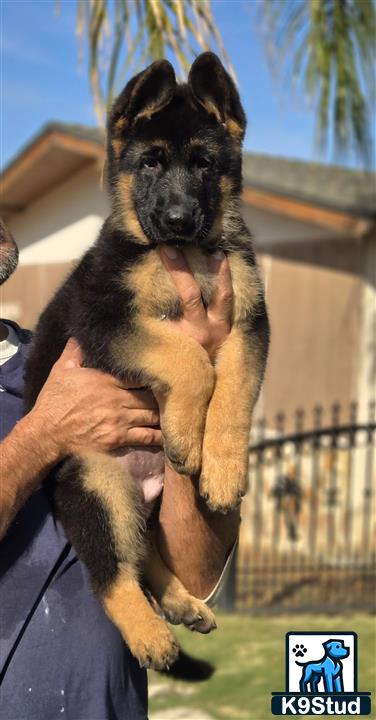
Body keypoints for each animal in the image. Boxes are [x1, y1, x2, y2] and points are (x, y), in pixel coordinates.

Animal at [25, 53, 268, 672]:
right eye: (151, 162)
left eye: (204, 164)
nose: (179, 219)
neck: (187, 253)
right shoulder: (105, 319)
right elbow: (190, 359)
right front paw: (185, 432)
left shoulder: (249, 326)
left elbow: (232, 392)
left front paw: (222, 470)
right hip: (97, 484)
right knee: (111, 573)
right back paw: (149, 635)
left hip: (140, 504)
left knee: (145, 556)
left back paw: (180, 601)